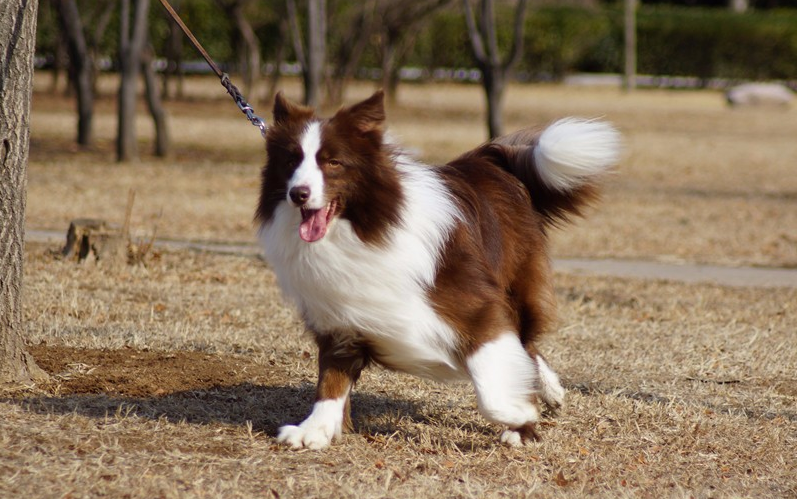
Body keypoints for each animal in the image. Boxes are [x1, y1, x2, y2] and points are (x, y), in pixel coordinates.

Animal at [258, 90, 620, 450]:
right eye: (291, 162)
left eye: (333, 162)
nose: (298, 194)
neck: (366, 229)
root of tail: (491, 158)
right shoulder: (340, 315)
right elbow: (331, 380)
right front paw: (313, 430)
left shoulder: (477, 304)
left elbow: (492, 383)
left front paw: (520, 417)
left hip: (517, 284)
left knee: (525, 341)